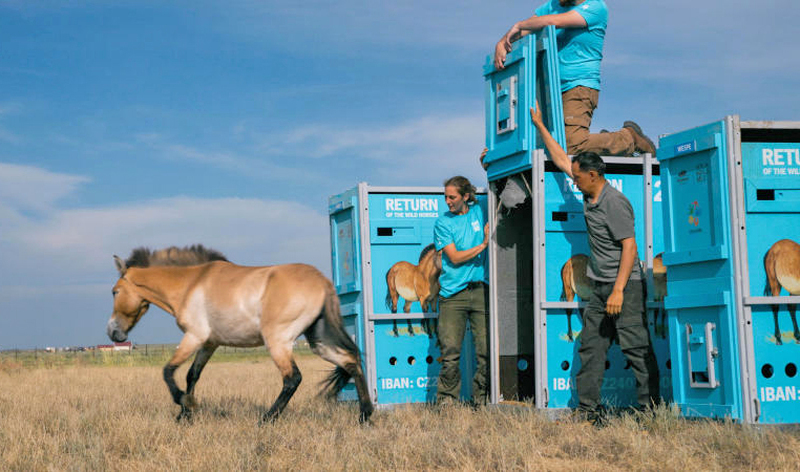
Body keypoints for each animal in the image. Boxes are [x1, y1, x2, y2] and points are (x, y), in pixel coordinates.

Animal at [105, 245, 376, 422]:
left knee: (293, 378)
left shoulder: (194, 336)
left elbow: (168, 371)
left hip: (278, 341)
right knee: (351, 362)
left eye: (114, 291)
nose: (113, 332)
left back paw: (266, 419)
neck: (191, 284)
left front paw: (184, 403)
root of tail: (323, 282)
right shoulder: (210, 343)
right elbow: (192, 375)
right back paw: (365, 415)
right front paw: (185, 415)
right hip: (318, 341)